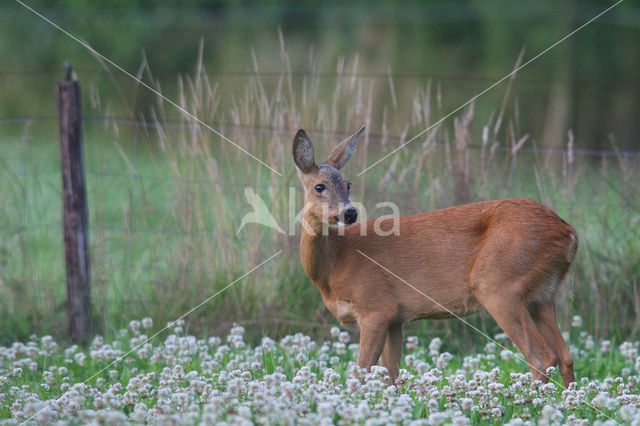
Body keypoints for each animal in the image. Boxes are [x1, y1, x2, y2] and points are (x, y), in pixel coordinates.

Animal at [296, 125, 580, 386]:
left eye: (348, 184)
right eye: (319, 186)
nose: (350, 213)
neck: (335, 262)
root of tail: (569, 232)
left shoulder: (375, 306)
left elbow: (361, 372)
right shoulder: (395, 318)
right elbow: (391, 375)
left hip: (500, 285)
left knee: (541, 358)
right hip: (543, 295)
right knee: (565, 357)